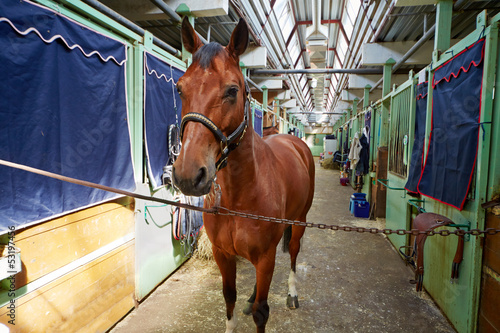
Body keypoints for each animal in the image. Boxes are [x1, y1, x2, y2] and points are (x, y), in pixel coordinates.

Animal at [172, 17, 312, 332]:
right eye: (180, 88)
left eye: (232, 90)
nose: (188, 175)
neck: (240, 194)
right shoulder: (224, 255)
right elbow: (229, 298)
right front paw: (241, 304)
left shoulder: (266, 256)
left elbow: (262, 311)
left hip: (299, 221)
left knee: (294, 252)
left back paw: (293, 294)